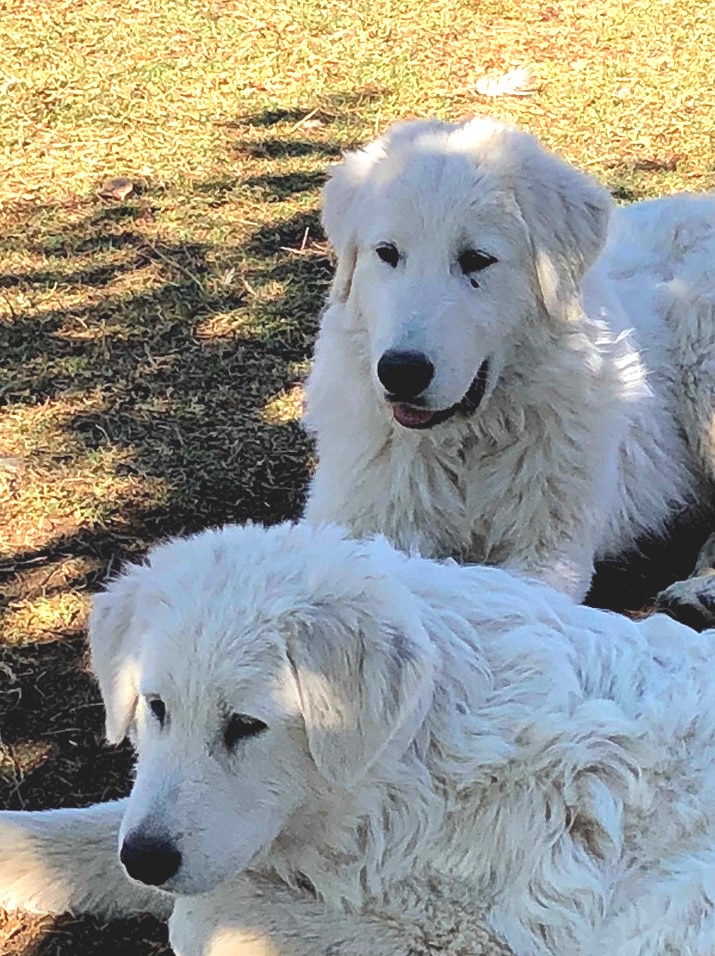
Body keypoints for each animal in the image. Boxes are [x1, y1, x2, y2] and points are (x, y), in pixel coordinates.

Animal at [1, 524, 715, 956]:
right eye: (156, 708)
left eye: (246, 726)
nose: (147, 860)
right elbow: (100, 831)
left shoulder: (478, 937)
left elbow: (199, 911)